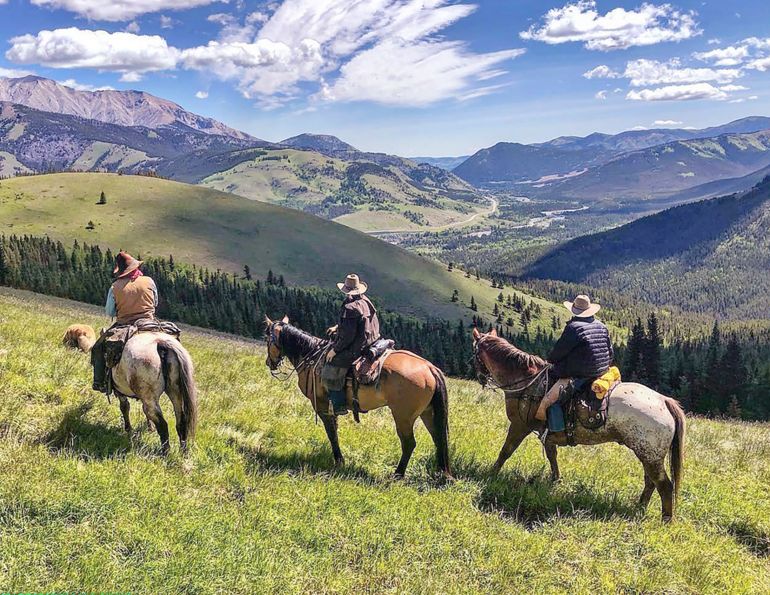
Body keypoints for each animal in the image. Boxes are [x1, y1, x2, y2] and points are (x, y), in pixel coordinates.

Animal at [67, 324, 198, 453]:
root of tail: (160, 343)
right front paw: (148, 428)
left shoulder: (120, 392)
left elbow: (124, 407)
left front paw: (128, 429)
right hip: (175, 393)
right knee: (181, 421)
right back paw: (183, 451)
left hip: (150, 398)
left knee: (162, 424)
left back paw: (165, 453)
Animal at [265, 316, 451, 479]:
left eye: (267, 339)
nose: (269, 363)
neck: (310, 355)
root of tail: (430, 368)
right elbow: (334, 430)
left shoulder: (322, 405)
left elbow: (331, 433)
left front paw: (339, 460)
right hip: (428, 413)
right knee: (438, 439)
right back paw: (441, 473)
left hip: (403, 416)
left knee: (409, 443)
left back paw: (397, 475)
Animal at [472, 327, 685, 521]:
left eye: (475, 353)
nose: (481, 378)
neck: (525, 383)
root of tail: (664, 400)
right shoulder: (547, 434)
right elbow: (552, 456)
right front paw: (556, 480)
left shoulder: (519, 426)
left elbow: (506, 451)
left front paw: (491, 474)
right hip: (648, 454)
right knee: (651, 482)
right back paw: (639, 507)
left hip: (650, 455)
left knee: (664, 485)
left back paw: (666, 519)